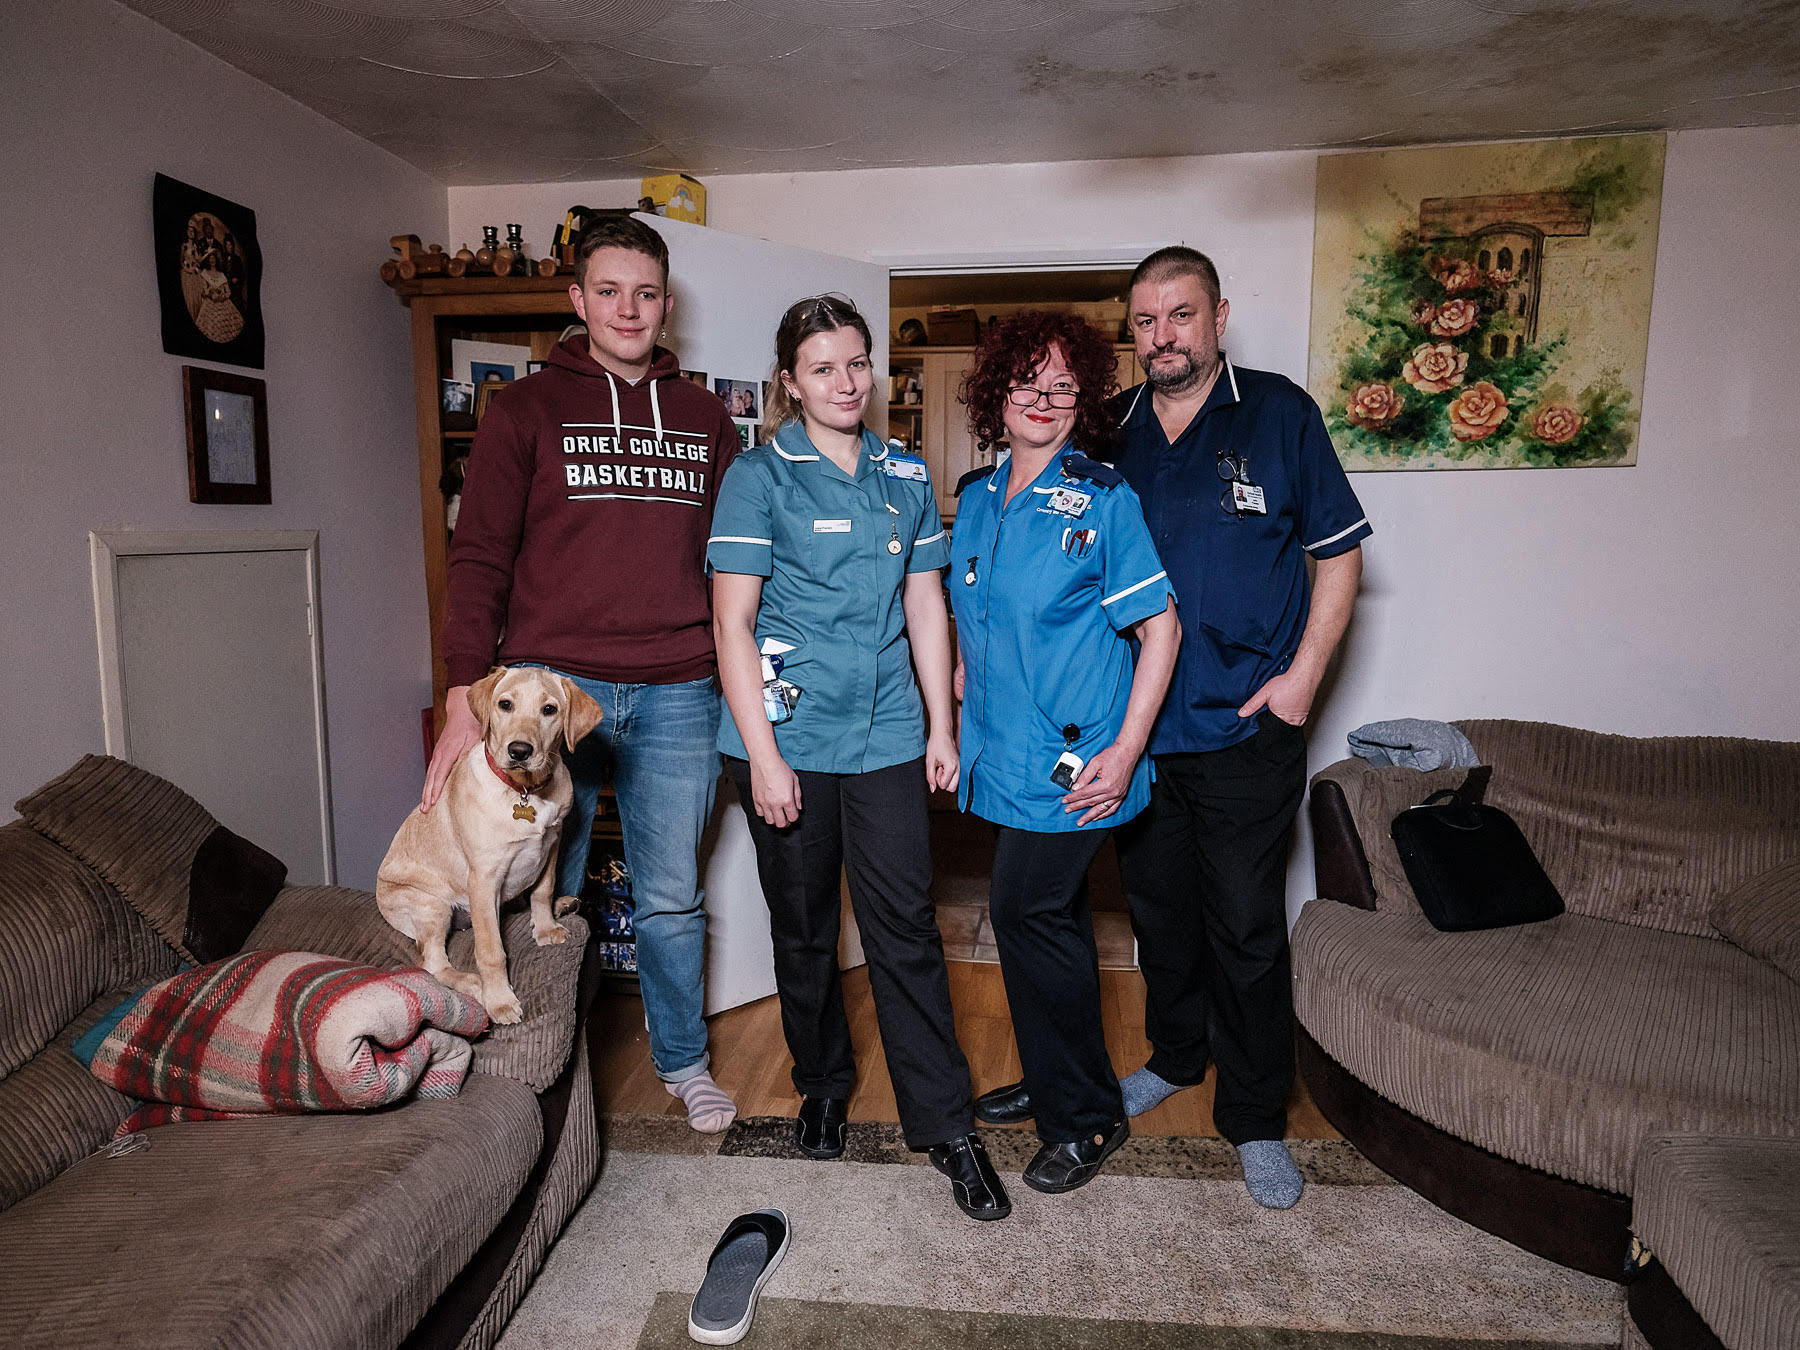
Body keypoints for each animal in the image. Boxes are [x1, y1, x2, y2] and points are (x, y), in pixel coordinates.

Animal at [379, 666, 604, 1022]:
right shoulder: (484, 879)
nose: (520, 751)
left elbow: (542, 891)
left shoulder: (552, 843)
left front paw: (545, 927)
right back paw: (472, 983)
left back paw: (562, 905)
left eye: (549, 709)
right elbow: (491, 950)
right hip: (432, 905)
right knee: (433, 964)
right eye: (505, 705)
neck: (524, 791)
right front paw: (499, 1000)